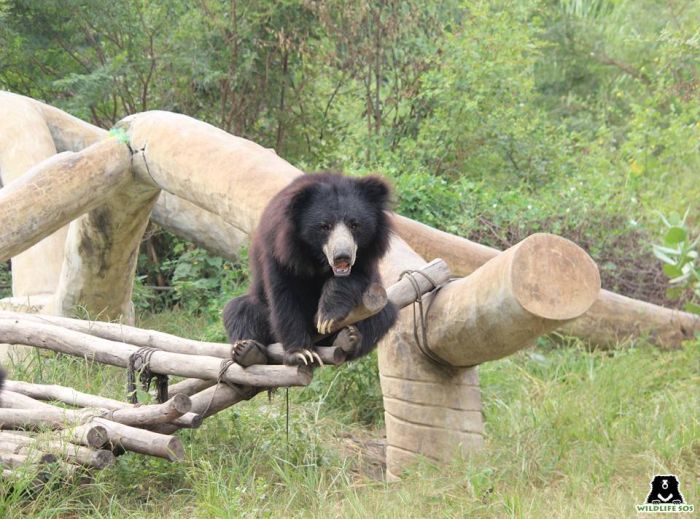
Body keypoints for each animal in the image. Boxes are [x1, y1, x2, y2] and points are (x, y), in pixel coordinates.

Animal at [226, 174, 400, 366]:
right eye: (325, 226)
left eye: (355, 225)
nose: (342, 257)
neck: (318, 258)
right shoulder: (279, 250)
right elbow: (284, 295)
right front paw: (301, 353)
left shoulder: (367, 252)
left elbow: (356, 277)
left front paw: (327, 317)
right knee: (239, 309)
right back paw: (247, 350)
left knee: (384, 315)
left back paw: (349, 338)